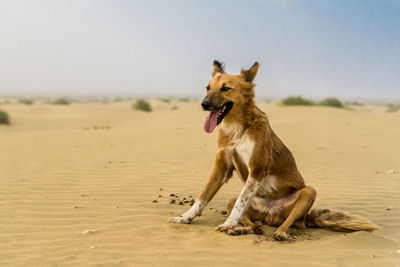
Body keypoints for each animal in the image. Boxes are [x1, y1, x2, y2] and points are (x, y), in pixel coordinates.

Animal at [167, 61, 376, 242]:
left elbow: (240, 201)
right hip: (240, 204)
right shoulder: (221, 167)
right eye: (207, 87)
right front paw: (185, 217)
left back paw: (278, 233)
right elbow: (202, 197)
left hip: (308, 192)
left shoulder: (256, 169)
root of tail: (271, 214)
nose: (204, 104)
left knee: (287, 223)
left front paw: (228, 223)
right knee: (256, 227)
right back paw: (239, 230)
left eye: (226, 88)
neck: (237, 129)